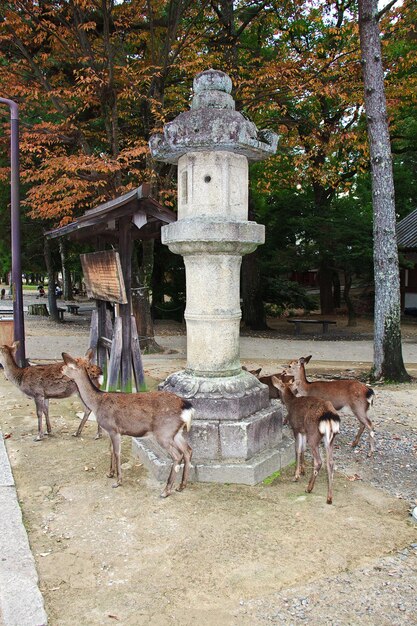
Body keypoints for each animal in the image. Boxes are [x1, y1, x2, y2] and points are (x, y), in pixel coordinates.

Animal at [61, 348, 193, 494]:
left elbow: (117, 452)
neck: (97, 403)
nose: (61, 371)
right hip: (176, 432)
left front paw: (118, 481)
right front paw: (110, 474)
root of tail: (186, 407)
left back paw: (166, 490)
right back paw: (181, 486)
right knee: (188, 450)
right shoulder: (109, 431)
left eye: (68, 365)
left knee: (177, 455)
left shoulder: (114, 429)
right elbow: (111, 450)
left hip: (164, 432)